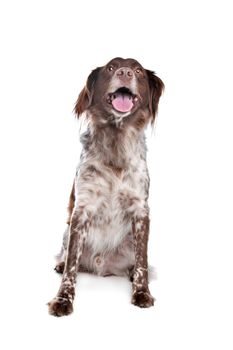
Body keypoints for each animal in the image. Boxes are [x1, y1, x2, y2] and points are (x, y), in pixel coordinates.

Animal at [47, 57, 164, 318]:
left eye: (138, 71)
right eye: (111, 68)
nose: (125, 72)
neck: (116, 140)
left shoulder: (140, 210)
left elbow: (142, 261)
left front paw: (142, 292)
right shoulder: (81, 209)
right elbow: (71, 265)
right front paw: (63, 299)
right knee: (66, 253)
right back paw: (59, 263)